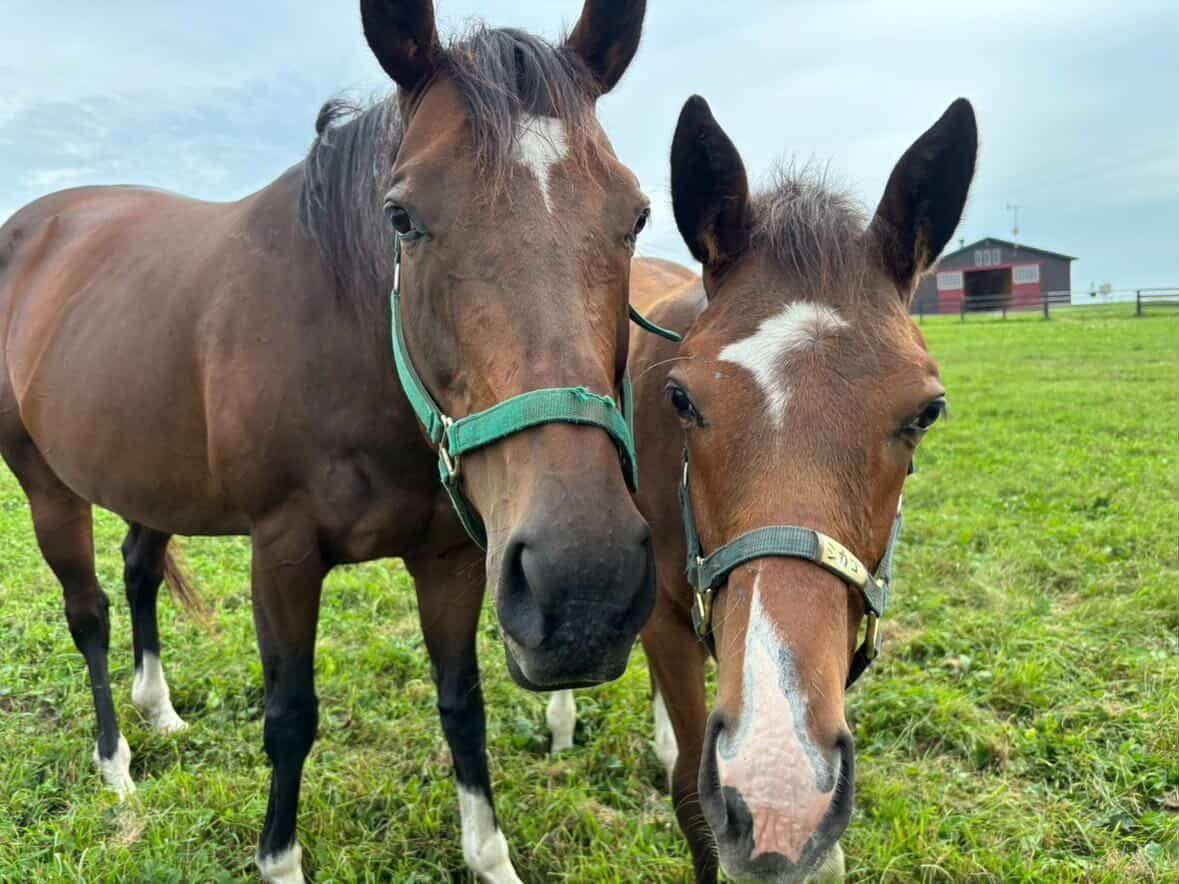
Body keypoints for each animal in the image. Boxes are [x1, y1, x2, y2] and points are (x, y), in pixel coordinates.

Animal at [0, 2, 657, 881]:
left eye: (636, 216)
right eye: (402, 218)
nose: (584, 582)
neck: (347, 337)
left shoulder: (450, 557)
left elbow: (463, 704)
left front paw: (489, 857)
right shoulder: (282, 552)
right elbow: (290, 714)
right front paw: (279, 860)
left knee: (138, 571)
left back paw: (160, 711)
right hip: (46, 486)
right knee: (90, 613)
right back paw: (116, 765)